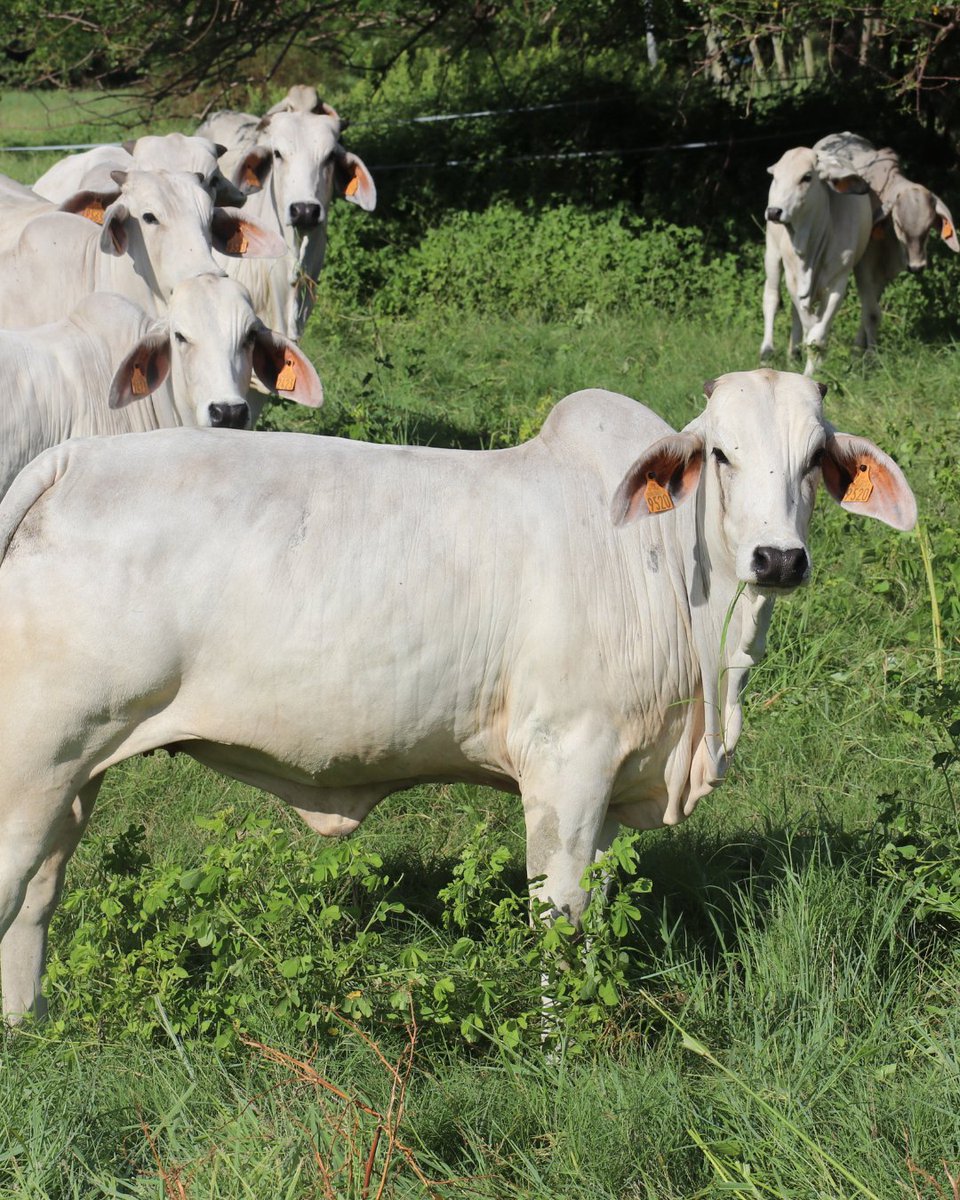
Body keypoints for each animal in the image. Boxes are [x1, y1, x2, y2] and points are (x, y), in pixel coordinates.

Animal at [0, 368, 916, 1022]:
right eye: (721, 455)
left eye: (815, 460)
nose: (778, 558)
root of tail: (72, 461)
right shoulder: (566, 760)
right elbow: (561, 914)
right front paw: (564, 1044)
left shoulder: (614, 783)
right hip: (31, 763)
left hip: (75, 772)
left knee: (38, 899)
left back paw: (33, 1023)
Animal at [760, 146, 873, 374]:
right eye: (776, 177)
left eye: (806, 177)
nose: (774, 211)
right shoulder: (793, 278)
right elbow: (809, 327)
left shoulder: (838, 282)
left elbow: (816, 336)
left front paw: (812, 369)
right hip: (772, 252)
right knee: (771, 297)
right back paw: (766, 353)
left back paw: (793, 355)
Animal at [812, 132, 959, 351]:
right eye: (898, 224)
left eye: (928, 227)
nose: (917, 266)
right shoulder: (864, 267)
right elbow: (872, 314)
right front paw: (870, 355)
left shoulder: (882, 275)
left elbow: (869, 312)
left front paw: (860, 348)